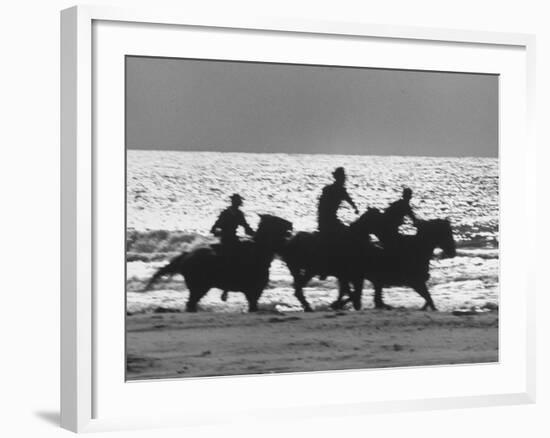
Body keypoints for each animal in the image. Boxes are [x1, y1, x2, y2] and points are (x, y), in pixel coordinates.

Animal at [146, 215, 294, 312]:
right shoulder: (253, 291)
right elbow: (253, 306)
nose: (291, 224)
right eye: (276, 221)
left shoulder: (253, 292)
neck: (258, 252)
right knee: (191, 303)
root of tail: (187, 255)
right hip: (199, 288)